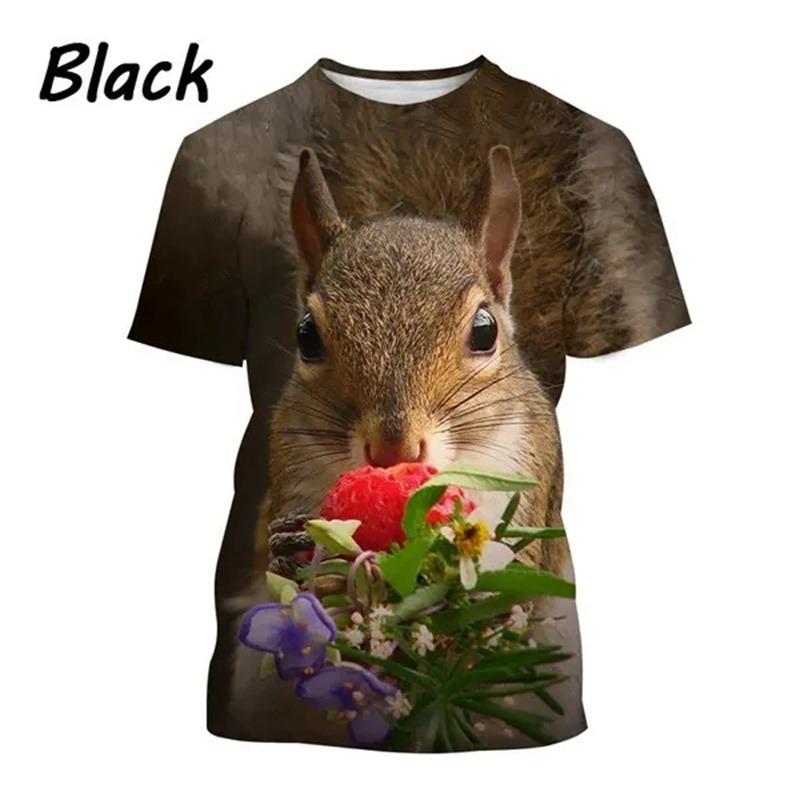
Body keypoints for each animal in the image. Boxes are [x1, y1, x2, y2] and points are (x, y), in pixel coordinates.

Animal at [226, 145, 583, 744]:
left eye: (485, 331)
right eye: (306, 335)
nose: (394, 449)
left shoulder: (530, 474)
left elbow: (517, 580)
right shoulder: (289, 466)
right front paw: (297, 552)